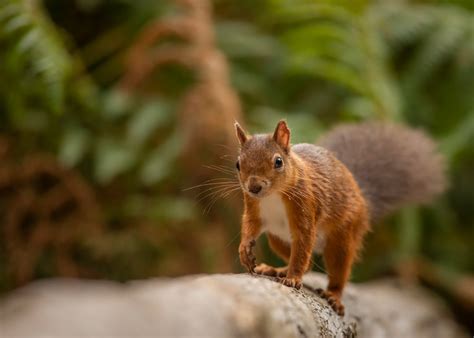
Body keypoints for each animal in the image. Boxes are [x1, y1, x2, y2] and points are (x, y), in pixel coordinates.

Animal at [235, 120, 446, 316]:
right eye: (238, 164)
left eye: (278, 162)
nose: (254, 187)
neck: (273, 196)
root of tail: (363, 201)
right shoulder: (253, 208)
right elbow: (250, 225)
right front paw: (245, 250)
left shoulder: (305, 207)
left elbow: (303, 241)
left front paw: (293, 278)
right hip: (277, 238)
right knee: (308, 262)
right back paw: (276, 269)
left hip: (342, 238)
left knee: (334, 266)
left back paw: (333, 295)